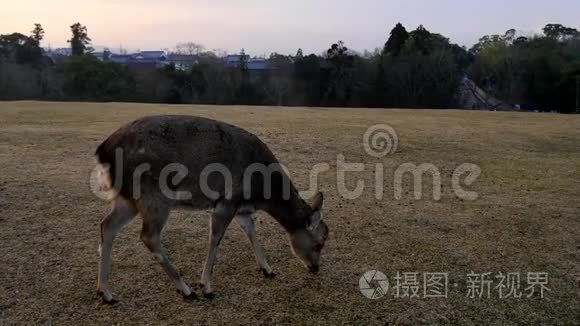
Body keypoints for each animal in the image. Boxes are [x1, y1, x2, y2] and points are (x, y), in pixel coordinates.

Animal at [93, 115, 328, 304]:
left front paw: (268, 270)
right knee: (148, 236)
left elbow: (251, 232)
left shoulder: (242, 209)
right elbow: (215, 238)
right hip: (154, 197)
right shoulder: (226, 201)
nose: (316, 268)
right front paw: (206, 287)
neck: (260, 192)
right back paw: (186, 290)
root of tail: (102, 151)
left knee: (107, 225)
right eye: (319, 243)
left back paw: (106, 293)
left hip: (127, 198)